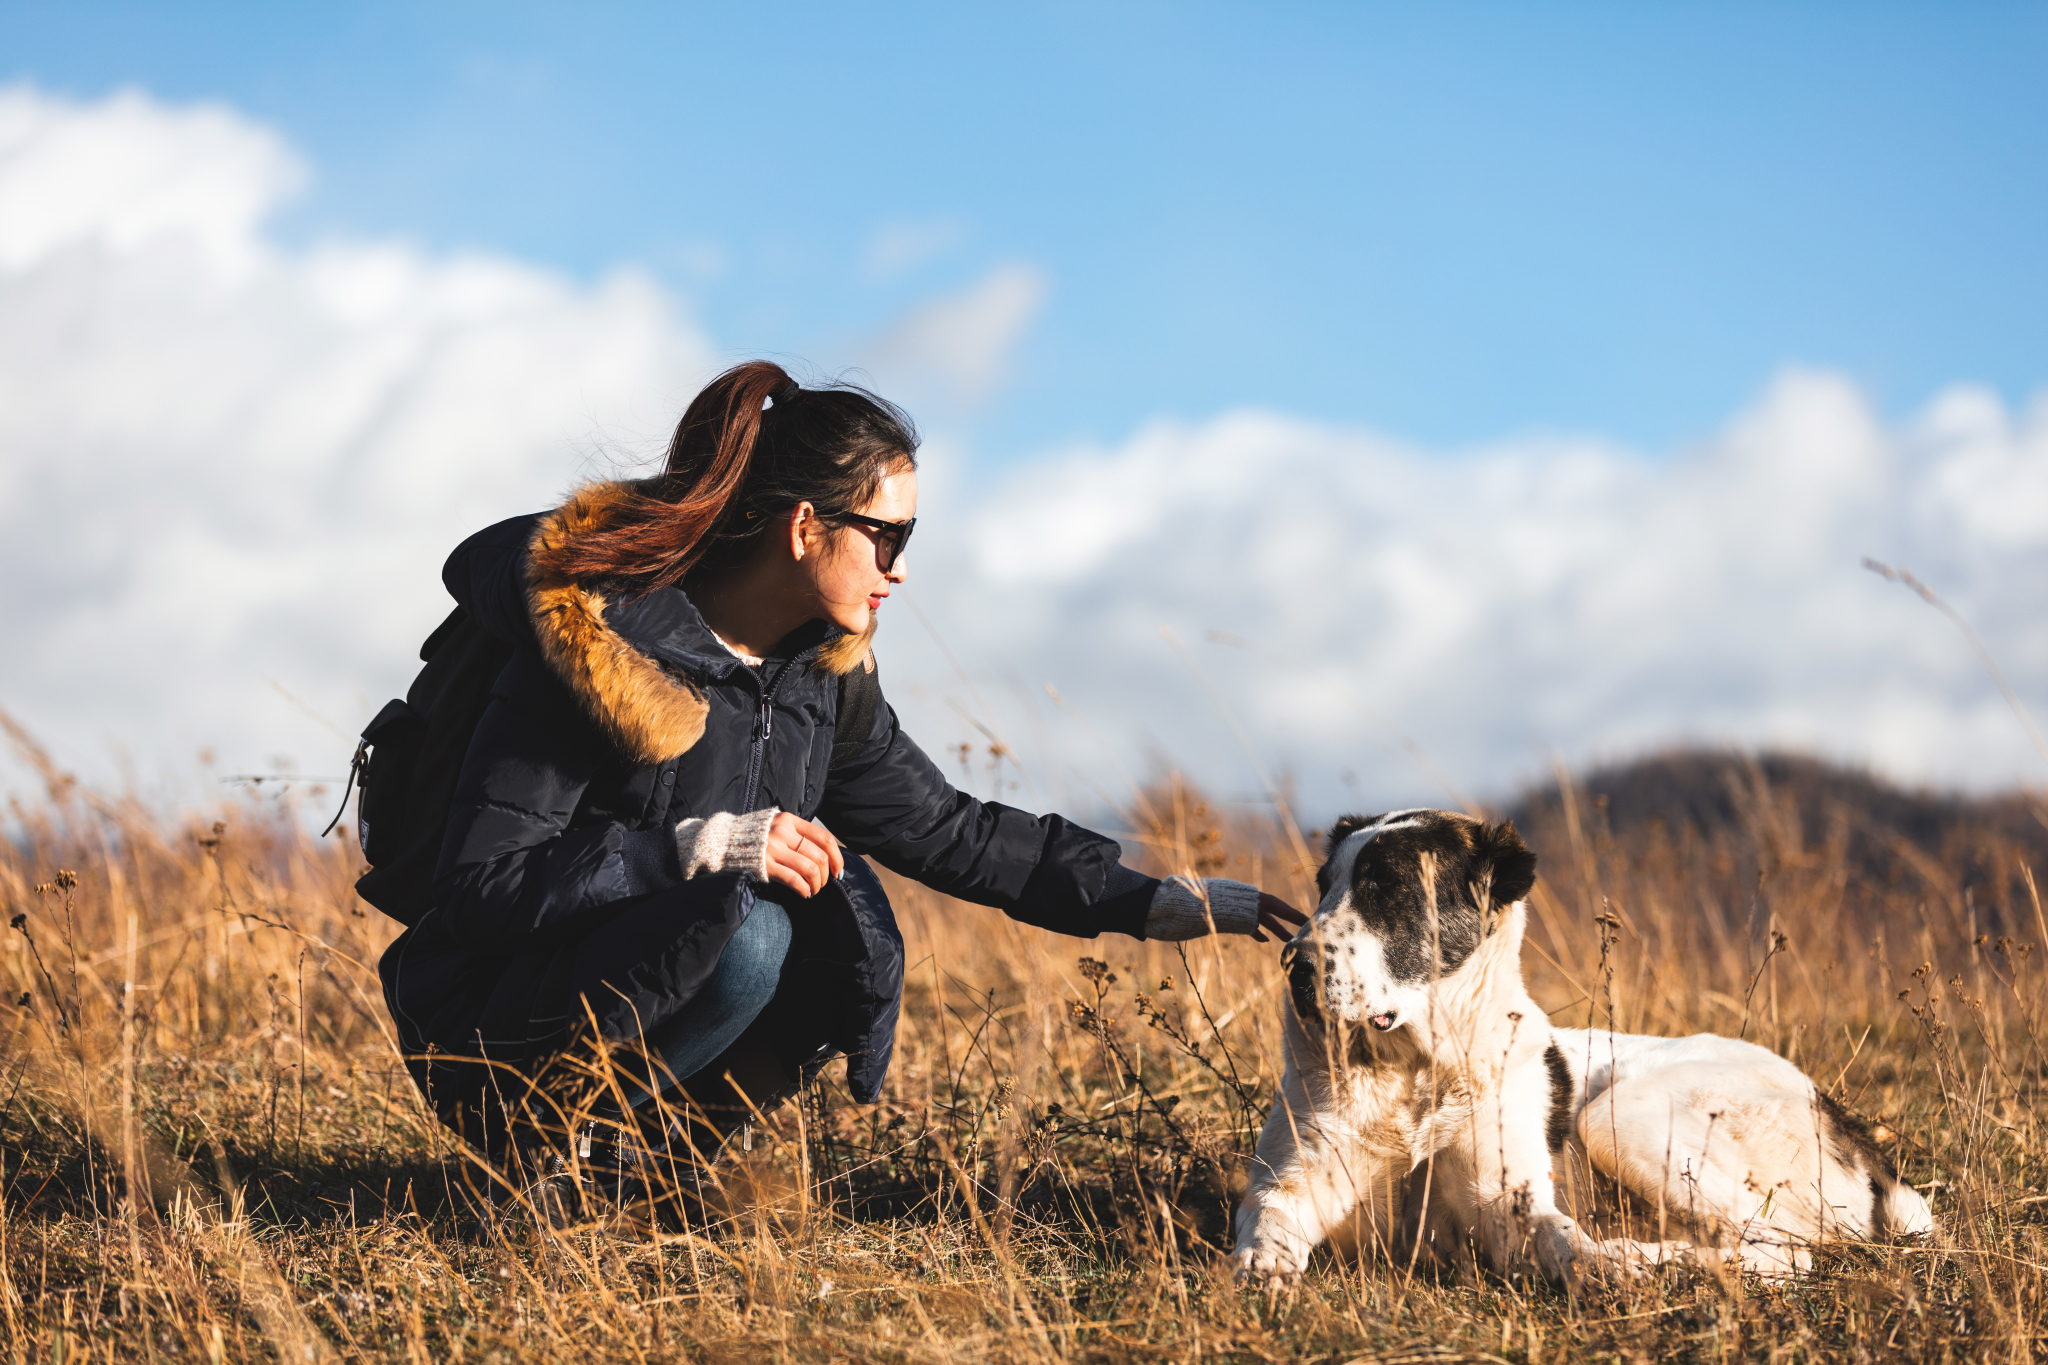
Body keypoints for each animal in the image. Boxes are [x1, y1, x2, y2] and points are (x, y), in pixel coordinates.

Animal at [1228, 806, 1933, 1285]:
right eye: (1325, 885)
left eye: (1389, 886)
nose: (1294, 964)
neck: (1418, 1068)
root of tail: (1845, 1121)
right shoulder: (1294, 1180)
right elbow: (1267, 1218)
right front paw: (1262, 1270)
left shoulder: (1508, 1200)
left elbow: (1563, 1239)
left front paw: (1601, 1263)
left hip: (1620, 1116)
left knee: (1782, 1250)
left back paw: (1651, 1257)